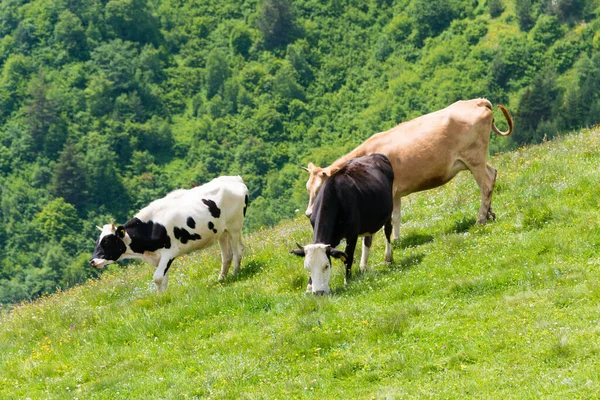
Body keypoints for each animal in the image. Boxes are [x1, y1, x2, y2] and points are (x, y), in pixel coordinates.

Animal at [89, 177, 248, 292]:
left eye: (107, 242)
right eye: (97, 242)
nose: (92, 261)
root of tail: (235, 178)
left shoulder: (169, 252)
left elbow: (158, 277)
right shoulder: (157, 258)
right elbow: (163, 279)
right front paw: (163, 297)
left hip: (234, 226)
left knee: (238, 250)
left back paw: (235, 274)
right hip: (222, 232)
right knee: (227, 256)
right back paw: (221, 279)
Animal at [290, 153, 394, 294]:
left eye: (326, 266)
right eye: (307, 268)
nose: (319, 293)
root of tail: (376, 155)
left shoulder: (352, 234)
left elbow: (348, 256)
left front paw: (347, 281)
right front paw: (309, 286)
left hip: (389, 210)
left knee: (388, 230)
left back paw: (388, 258)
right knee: (368, 239)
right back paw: (363, 266)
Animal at [302, 98, 512, 239]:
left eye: (320, 189)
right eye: (307, 188)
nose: (309, 213)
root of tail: (477, 101)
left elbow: (390, 218)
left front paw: (394, 241)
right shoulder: (396, 193)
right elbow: (397, 216)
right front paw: (397, 239)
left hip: (474, 158)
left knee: (486, 184)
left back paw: (480, 219)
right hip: (473, 161)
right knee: (492, 174)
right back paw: (489, 214)